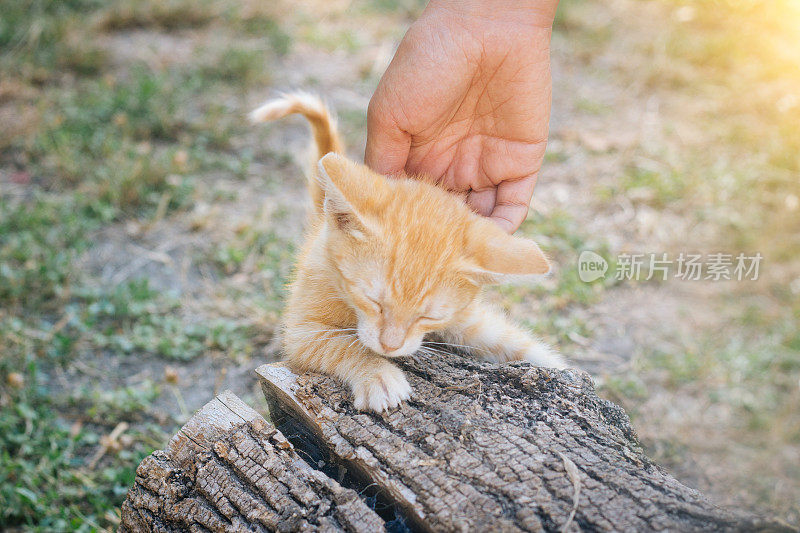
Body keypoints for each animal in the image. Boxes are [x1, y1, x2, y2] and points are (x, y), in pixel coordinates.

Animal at [250, 92, 564, 412]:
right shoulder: (300, 331)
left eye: (429, 317)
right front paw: (378, 375)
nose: (390, 346)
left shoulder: (466, 317)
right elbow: (340, 344)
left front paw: (555, 366)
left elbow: (506, 338)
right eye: (372, 301)